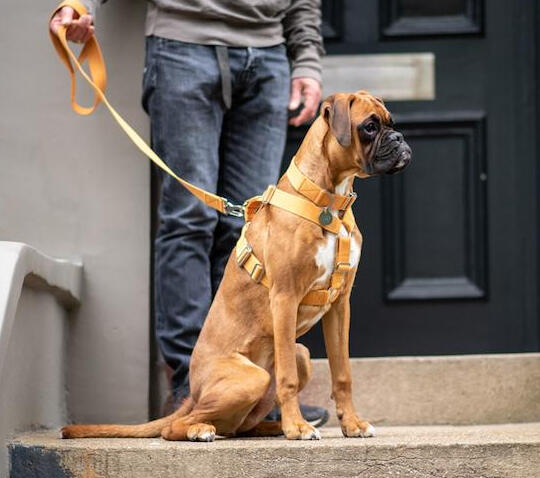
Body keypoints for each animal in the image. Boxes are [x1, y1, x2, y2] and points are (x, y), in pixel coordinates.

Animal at [61, 89, 412, 440]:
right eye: (369, 127)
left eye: (391, 124)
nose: (399, 139)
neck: (327, 200)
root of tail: (193, 393)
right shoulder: (284, 297)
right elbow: (287, 379)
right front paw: (297, 428)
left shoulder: (339, 305)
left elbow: (343, 373)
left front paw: (351, 423)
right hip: (252, 378)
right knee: (177, 427)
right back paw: (205, 429)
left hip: (301, 356)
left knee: (239, 426)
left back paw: (273, 426)